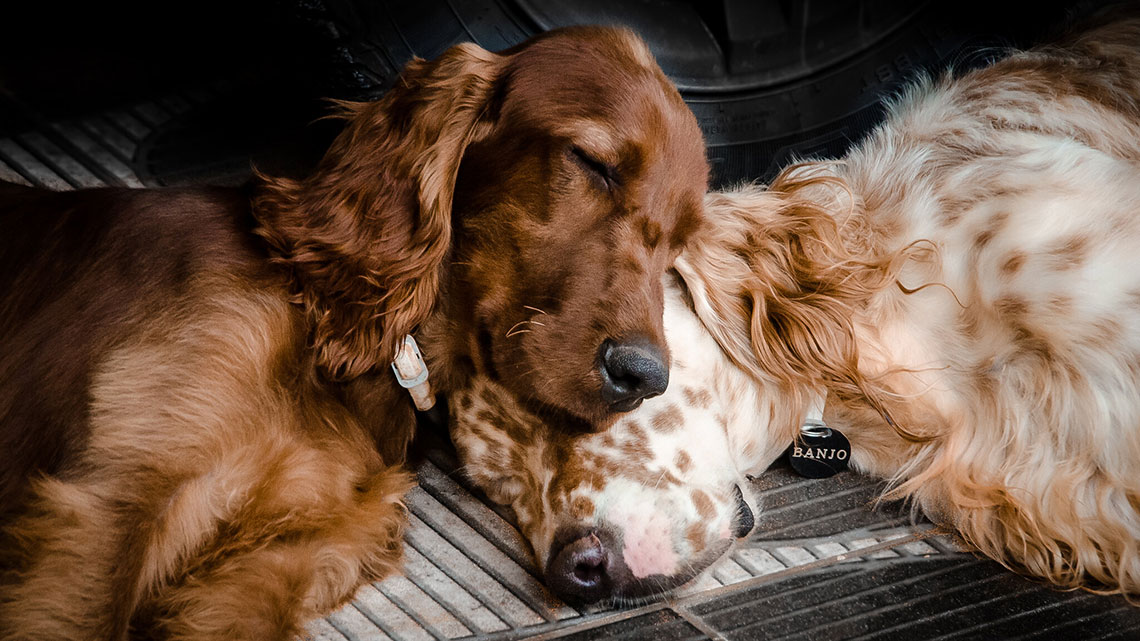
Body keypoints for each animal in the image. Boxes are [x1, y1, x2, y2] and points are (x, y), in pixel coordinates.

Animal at [0, 27, 706, 634]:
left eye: (679, 241)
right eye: (592, 163)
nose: (644, 377)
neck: (335, 341)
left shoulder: (280, 559)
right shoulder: (114, 504)